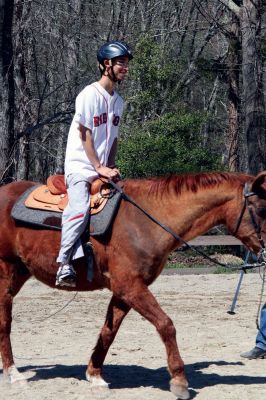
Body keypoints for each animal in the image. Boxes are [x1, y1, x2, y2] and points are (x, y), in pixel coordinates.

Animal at [0, 172, 266, 400]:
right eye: (261, 209)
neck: (145, 221)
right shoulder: (131, 287)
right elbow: (166, 325)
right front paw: (179, 381)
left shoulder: (124, 292)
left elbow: (109, 332)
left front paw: (95, 376)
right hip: (6, 274)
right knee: (5, 324)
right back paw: (13, 373)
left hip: (20, 272)